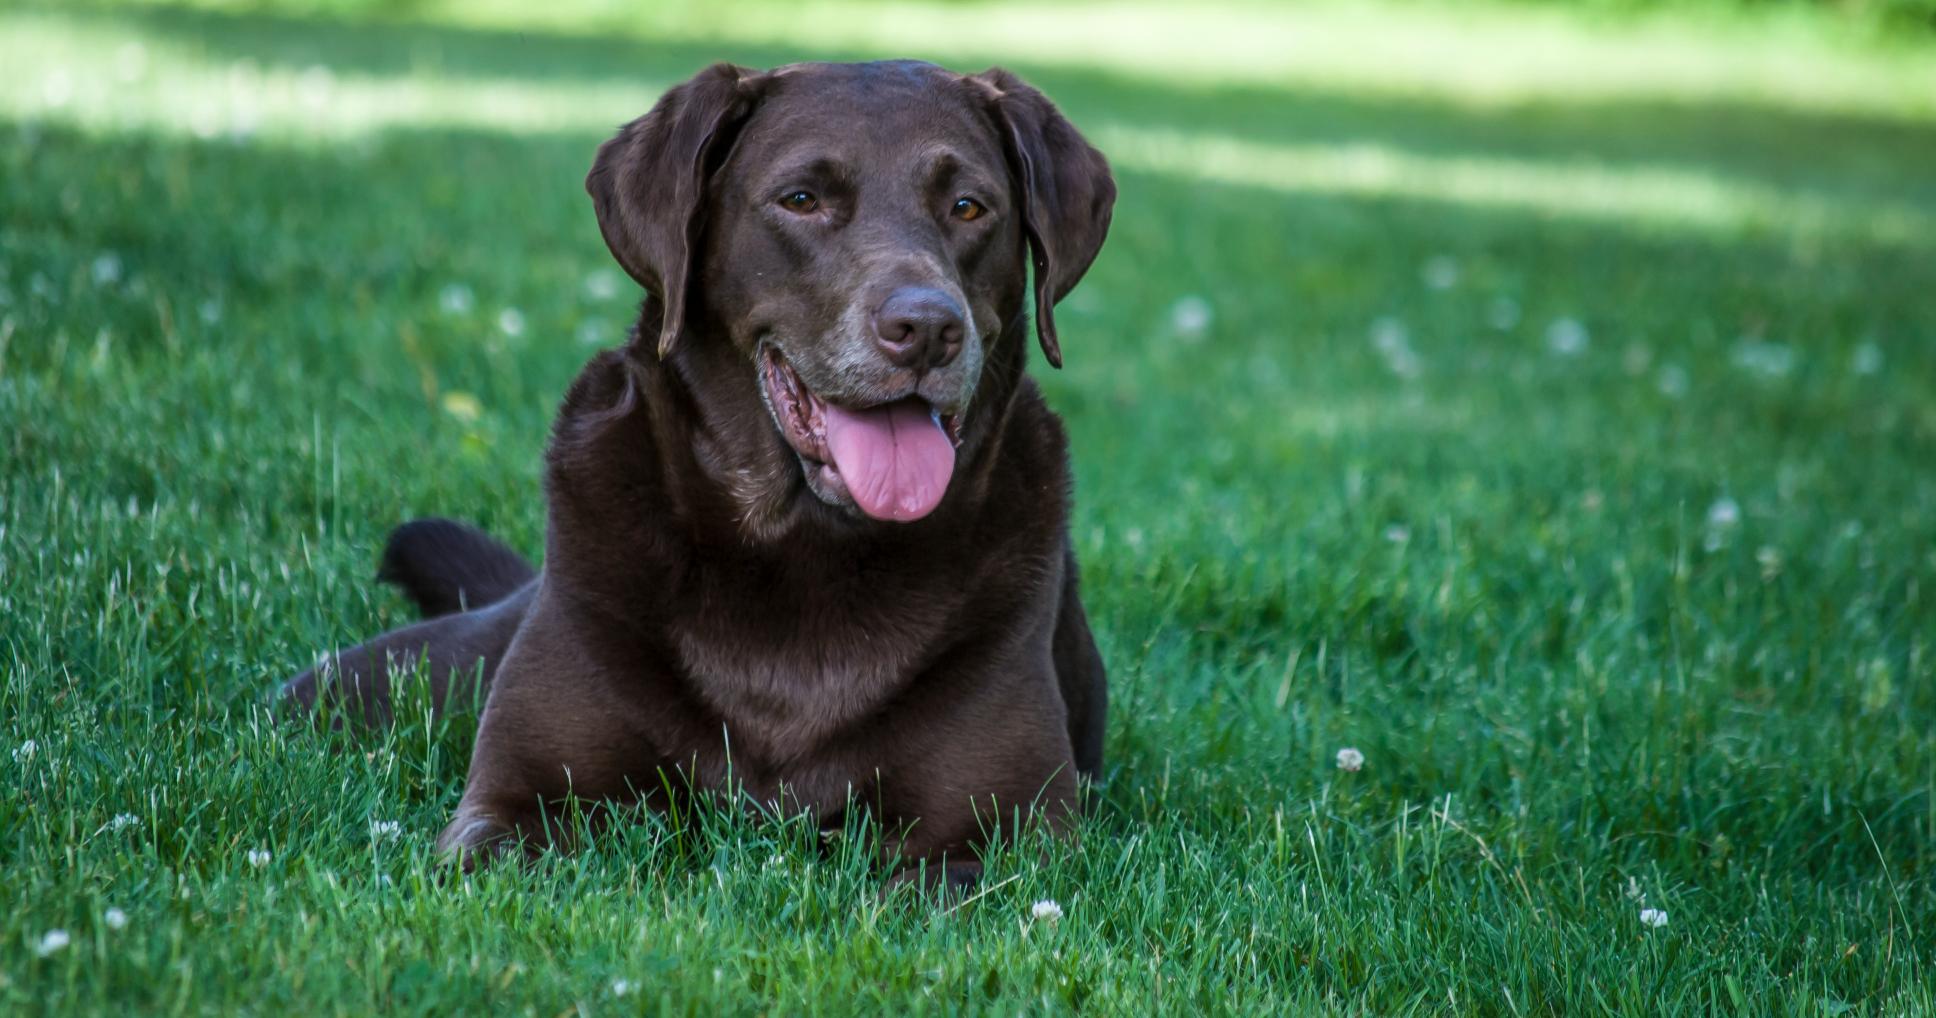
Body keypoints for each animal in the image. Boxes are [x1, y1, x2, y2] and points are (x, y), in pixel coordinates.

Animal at [278, 61, 1115, 894]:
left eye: (969, 207)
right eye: (801, 200)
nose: (928, 329)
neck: (805, 553)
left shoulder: (1002, 838)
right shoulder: (517, 801)